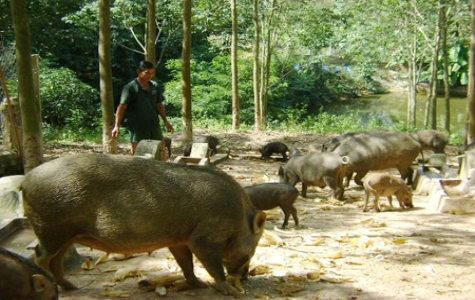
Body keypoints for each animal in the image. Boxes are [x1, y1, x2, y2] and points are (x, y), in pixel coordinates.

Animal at [21, 155, 268, 298]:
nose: (245, 277)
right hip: (51, 229)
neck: (238, 216)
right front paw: (231, 291)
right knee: (41, 255)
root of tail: (25, 180)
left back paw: (71, 287)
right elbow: (212, 264)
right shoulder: (204, 237)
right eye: (252, 248)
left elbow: (186, 262)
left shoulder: (179, 239)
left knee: (56, 259)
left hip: (65, 235)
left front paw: (198, 285)